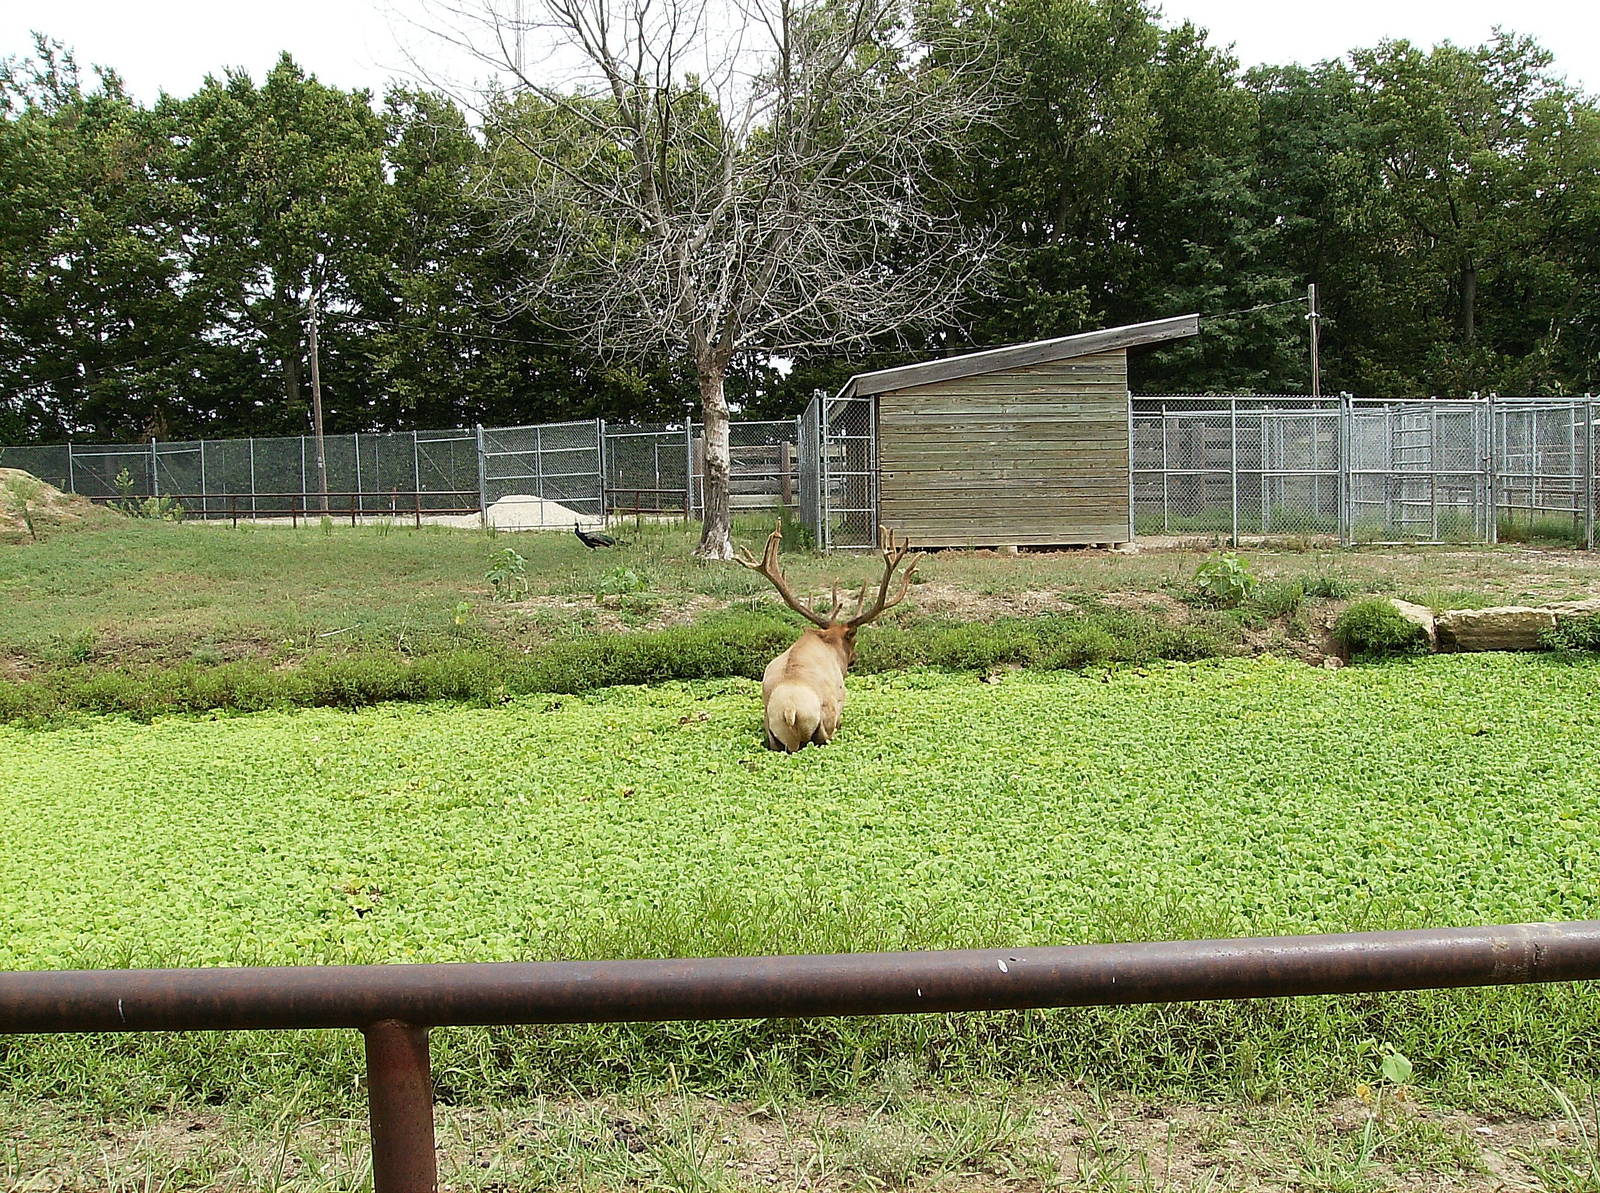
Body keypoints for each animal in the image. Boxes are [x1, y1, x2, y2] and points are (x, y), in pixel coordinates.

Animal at [735, 522, 921, 752]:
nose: (855, 658)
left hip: (771, 731)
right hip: (826, 723)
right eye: (853, 639)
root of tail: (789, 711)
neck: (829, 644)